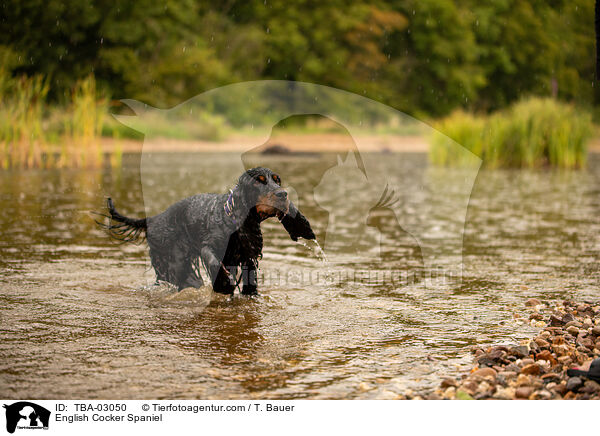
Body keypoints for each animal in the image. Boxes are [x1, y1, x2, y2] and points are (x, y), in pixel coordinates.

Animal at [97, 169, 314, 294]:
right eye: (258, 181)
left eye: (277, 180)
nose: (283, 194)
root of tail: (154, 218)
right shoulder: (209, 246)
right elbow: (212, 259)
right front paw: (223, 283)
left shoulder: (248, 256)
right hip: (175, 261)